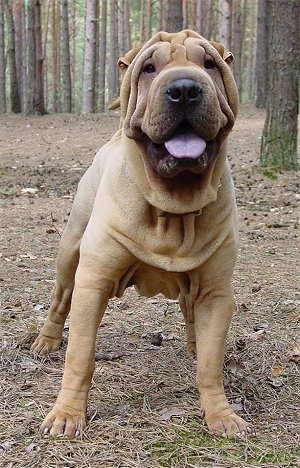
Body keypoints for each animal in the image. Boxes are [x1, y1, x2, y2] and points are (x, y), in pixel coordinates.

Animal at [31, 29, 251, 438]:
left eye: (209, 64)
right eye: (149, 68)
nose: (184, 89)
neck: (172, 207)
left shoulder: (216, 293)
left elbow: (210, 364)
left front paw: (221, 415)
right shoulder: (93, 282)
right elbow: (80, 356)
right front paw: (67, 414)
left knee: (190, 313)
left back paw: (194, 343)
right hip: (69, 254)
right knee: (60, 299)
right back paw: (45, 341)